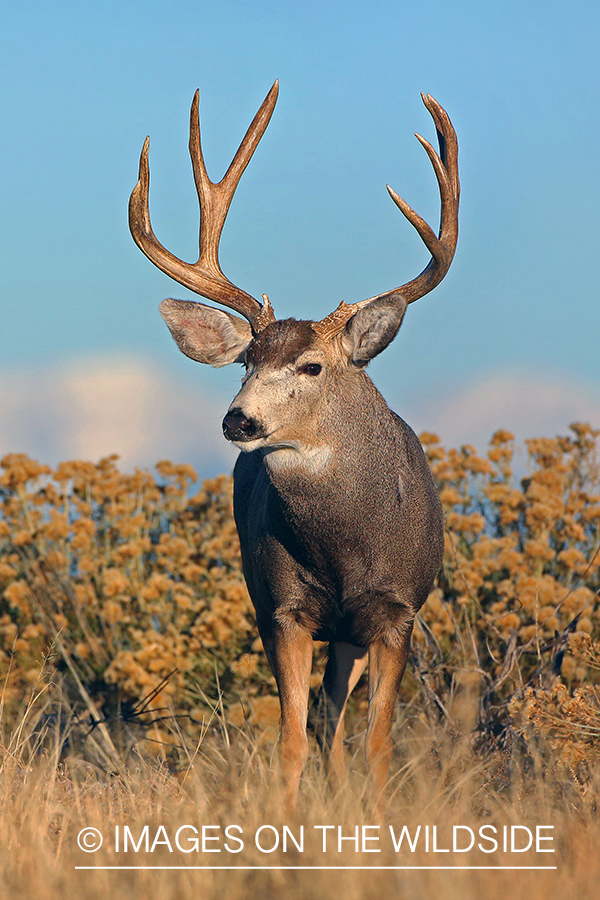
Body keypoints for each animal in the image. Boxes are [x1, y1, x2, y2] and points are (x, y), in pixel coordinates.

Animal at [129, 81, 460, 804]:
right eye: (245, 361)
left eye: (311, 367)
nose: (239, 421)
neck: (345, 549)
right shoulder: (283, 610)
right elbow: (290, 740)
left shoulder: (396, 612)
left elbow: (377, 744)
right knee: (324, 726)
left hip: (356, 635)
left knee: (340, 723)